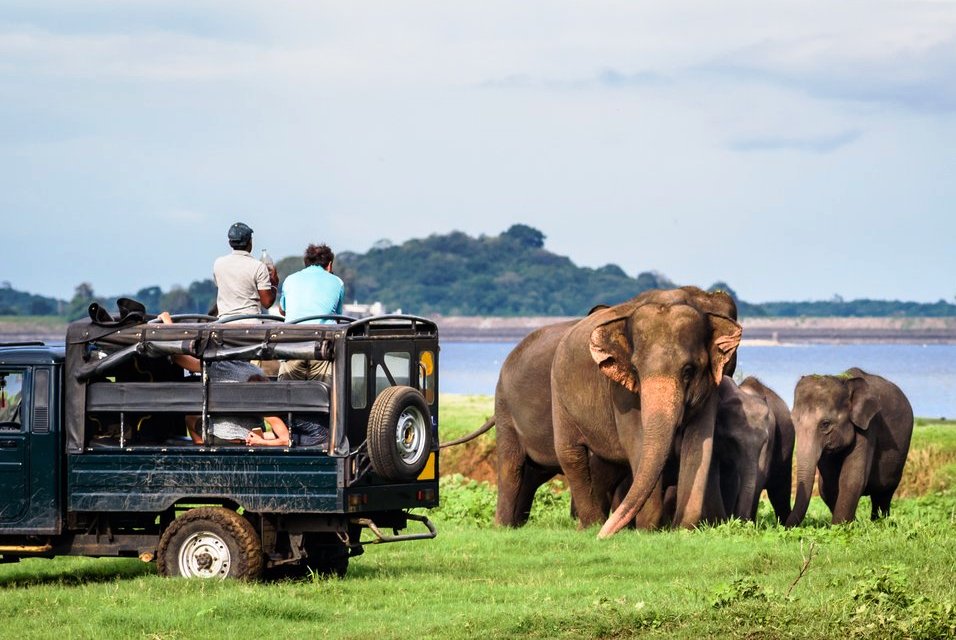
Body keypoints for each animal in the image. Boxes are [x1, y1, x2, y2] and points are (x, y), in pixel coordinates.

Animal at [788, 368, 916, 528]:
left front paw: (840, 527)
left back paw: (880, 523)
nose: (784, 526)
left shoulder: (868, 427)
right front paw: (850, 524)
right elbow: (828, 486)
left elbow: (851, 478)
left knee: (884, 493)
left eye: (825, 424)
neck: (844, 381)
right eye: (793, 421)